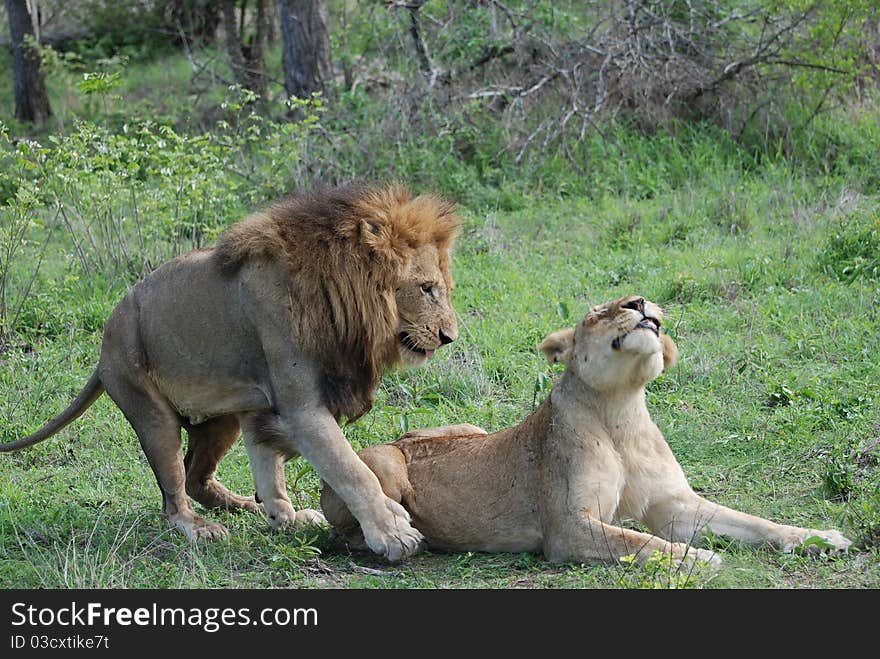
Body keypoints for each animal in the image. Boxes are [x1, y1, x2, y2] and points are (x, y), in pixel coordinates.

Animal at [3, 184, 460, 564]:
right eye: (427, 288)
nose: (449, 337)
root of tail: (102, 351)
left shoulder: (263, 407)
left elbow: (268, 464)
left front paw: (283, 517)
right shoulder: (302, 408)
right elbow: (352, 469)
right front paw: (392, 534)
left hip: (220, 418)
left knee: (196, 477)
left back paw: (250, 506)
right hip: (149, 409)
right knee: (173, 496)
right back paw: (200, 529)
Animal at [324, 296, 852, 568]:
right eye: (601, 311)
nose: (640, 302)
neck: (622, 411)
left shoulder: (676, 506)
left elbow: (754, 523)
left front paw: (822, 537)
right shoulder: (567, 529)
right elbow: (640, 542)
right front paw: (697, 557)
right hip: (384, 463)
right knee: (354, 522)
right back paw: (402, 537)